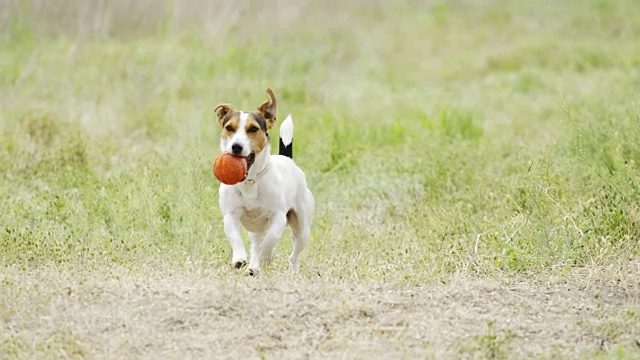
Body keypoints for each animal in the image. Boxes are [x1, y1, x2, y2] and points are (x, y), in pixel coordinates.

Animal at [215, 88, 316, 274]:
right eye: (229, 128)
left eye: (253, 129)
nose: (236, 146)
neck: (250, 181)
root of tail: (287, 159)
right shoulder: (230, 215)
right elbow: (234, 237)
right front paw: (239, 258)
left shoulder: (278, 217)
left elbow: (270, 239)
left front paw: (266, 258)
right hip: (255, 229)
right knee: (255, 245)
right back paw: (254, 267)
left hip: (302, 228)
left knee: (294, 254)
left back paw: (292, 271)